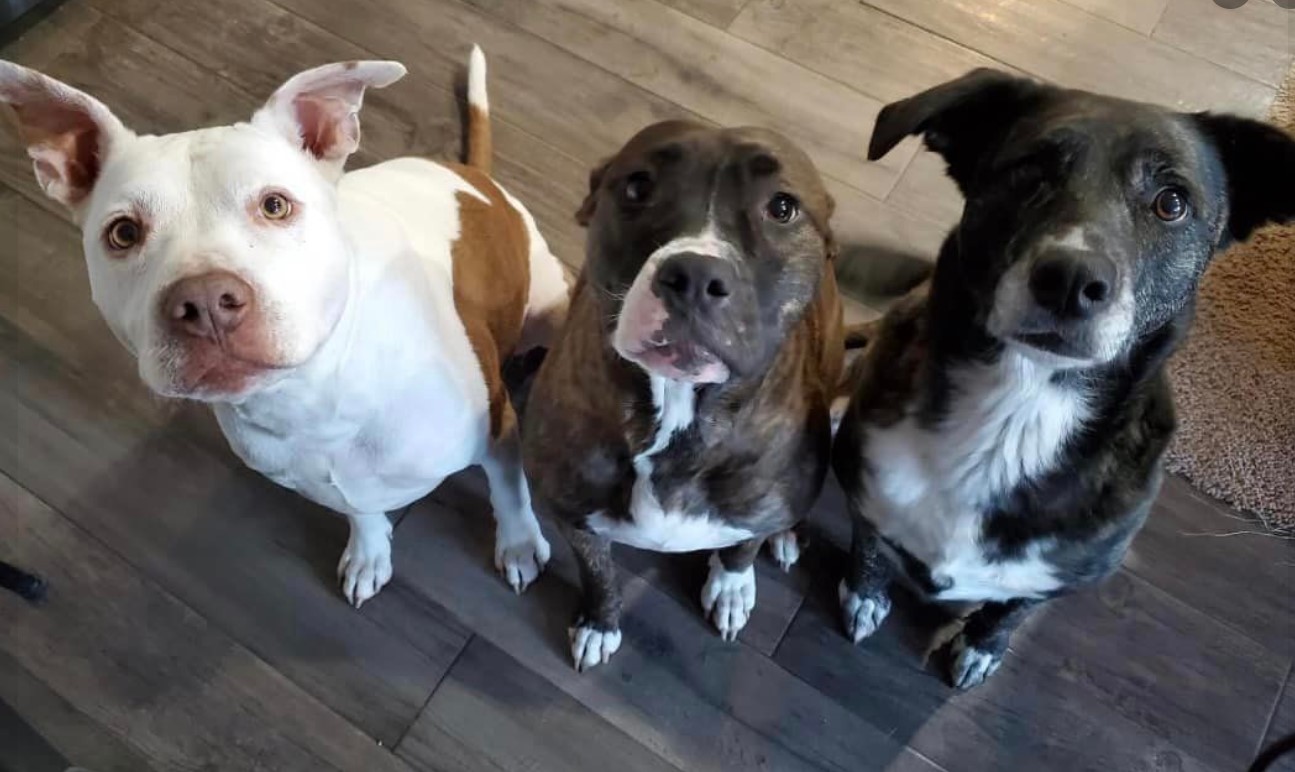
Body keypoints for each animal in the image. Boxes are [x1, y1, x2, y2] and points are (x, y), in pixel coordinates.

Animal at [0, 46, 567, 603]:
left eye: (275, 205)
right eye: (122, 233)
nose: (205, 302)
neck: (308, 400)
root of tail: (470, 175)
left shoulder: (499, 430)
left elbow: (510, 493)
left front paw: (519, 546)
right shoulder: (327, 484)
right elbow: (361, 510)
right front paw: (369, 552)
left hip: (546, 302)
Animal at [828, 70, 1295, 689]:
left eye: (1172, 203)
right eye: (1028, 170)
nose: (1071, 281)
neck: (1017, 411)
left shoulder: (1059, 578)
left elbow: (1010, 611)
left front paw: (981, 646)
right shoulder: (867, 499)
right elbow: (870, 552)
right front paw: (864, 595)